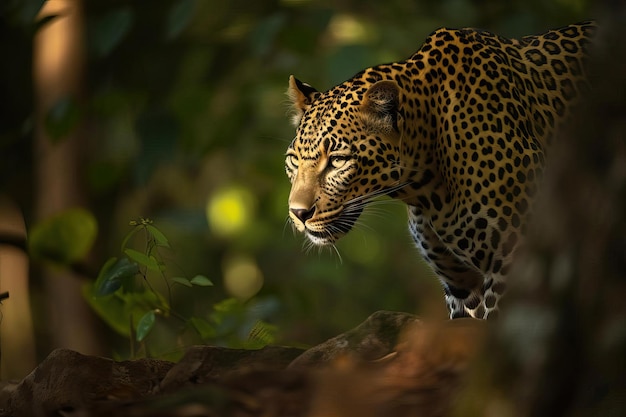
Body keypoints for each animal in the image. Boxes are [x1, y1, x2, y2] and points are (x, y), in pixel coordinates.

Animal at [282, 22, 596, 318]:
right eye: (294, 161)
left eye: (337, 160)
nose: (298, 213)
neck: (425, 187)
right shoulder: (462, 288)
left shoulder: (512, 265)